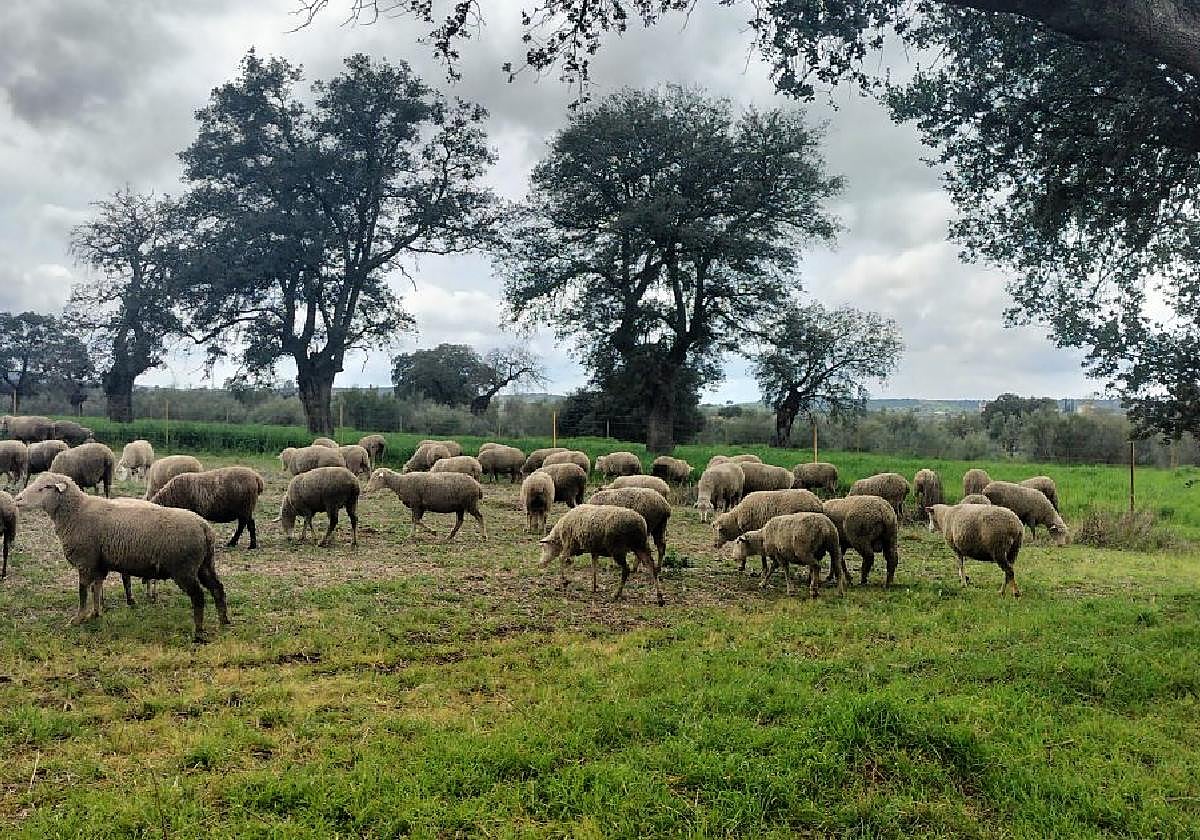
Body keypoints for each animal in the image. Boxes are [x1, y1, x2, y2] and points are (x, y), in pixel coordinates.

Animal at [15, 473, 229, 641]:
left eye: (44, 488)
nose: (17, 500)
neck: (76, 512)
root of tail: (204, 526)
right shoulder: (98, 564)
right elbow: (96, 589)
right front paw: (95, 614)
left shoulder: (85, 561)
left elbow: (83, 592)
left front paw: (78, 619)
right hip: (204, 564)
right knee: (217, 589)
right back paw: (224, 622)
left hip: (184, 568)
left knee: (198, 596)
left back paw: (198, 632)